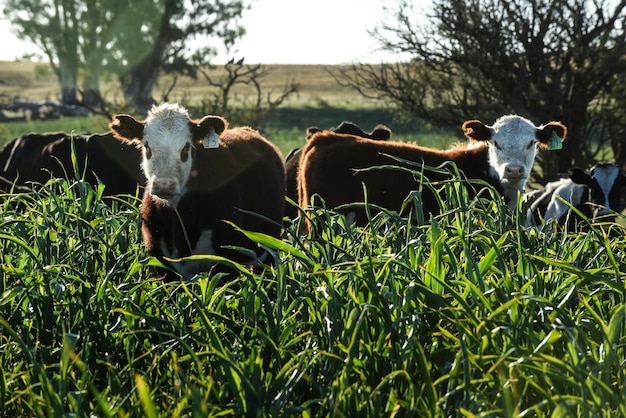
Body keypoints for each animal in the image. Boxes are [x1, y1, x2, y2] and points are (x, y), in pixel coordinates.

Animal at [109, 101, 286, 280]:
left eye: (186, 147)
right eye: (147, 147)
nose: (164, 185)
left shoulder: (226, 261)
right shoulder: (160, 260)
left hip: (269, 249)